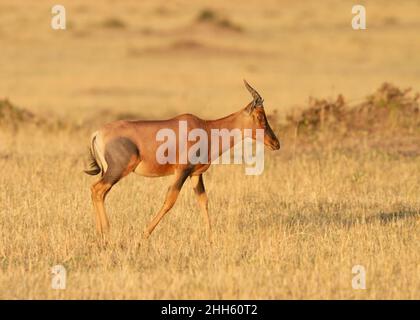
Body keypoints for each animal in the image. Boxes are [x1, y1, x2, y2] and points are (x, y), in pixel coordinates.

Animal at [83, 81, 280, 239]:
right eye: (260, 116)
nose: (276, 143)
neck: (205, 128)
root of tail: (98, 133)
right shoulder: (182, 171)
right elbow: (170, 199)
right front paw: (144, 234)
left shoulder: (195, 174)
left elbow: (203, 201)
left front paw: (210, 238)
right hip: (118, 170)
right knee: (97, 190)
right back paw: (106, 232)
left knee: (99, 192)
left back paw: (101, 233)